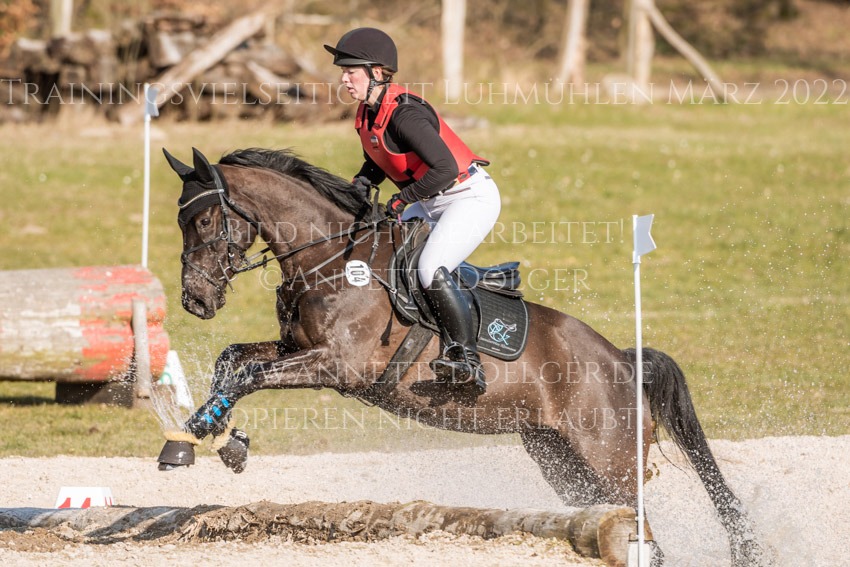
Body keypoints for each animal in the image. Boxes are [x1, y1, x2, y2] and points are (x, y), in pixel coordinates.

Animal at [158, 146, 770, 566]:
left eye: (205, 221)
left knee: (646, 537)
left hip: (611, 464)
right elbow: (233, 361)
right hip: (564, 465)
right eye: (182, 221)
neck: (330, 257)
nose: (195, 301)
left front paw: (204, 442)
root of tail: (621, 361)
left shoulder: (334, 364)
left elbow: (251, 373)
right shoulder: (299, 349)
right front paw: (206, 434)